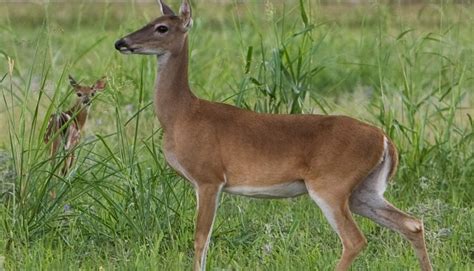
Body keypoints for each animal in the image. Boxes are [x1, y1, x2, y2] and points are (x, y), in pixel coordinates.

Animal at [115, 1, 434, 270]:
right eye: (148, 20)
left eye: (162, 27)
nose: (121, 43)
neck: (182, 114)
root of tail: (385, 140)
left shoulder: (209, 178)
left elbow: (200, 239)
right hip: (364, 190)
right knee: (412, 224)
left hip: (331, 185)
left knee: (355, 240)